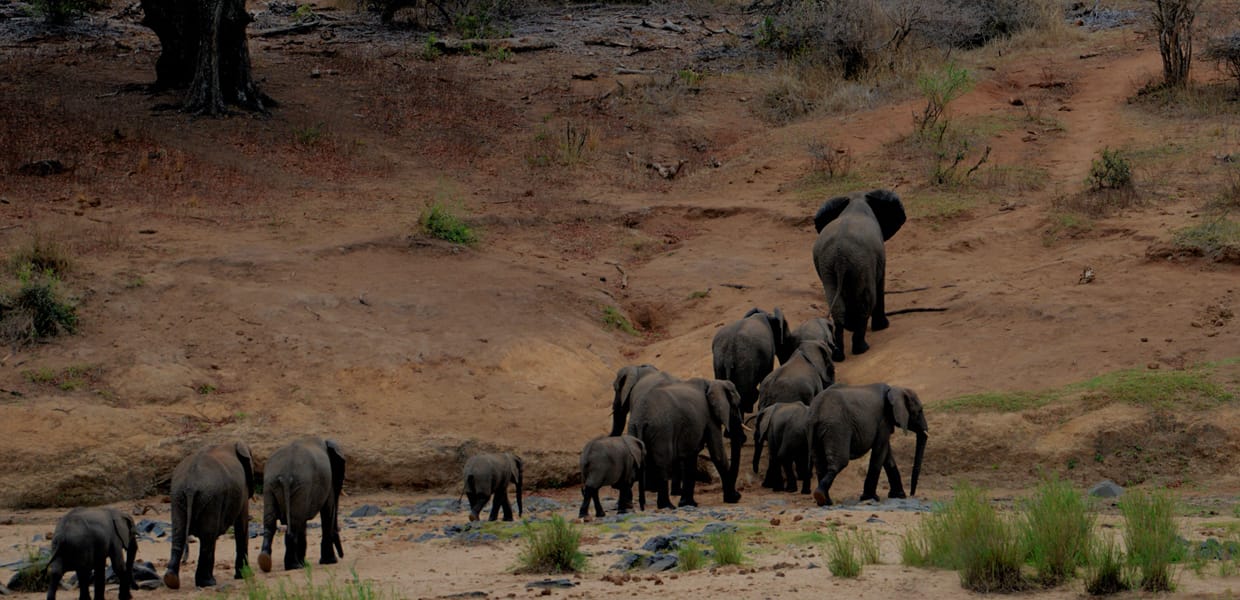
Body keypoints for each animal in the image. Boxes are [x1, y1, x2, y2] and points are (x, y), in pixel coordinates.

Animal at [163, 438, 252, 587]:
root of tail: (190, 486)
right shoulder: (243, 489)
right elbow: (242, 525)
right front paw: (244, 576)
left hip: (178, 496)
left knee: (179, 534)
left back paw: (171, 580)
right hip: (211, 498)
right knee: (208, 537)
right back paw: (208, 582)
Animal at [255, 436, 344, 572]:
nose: (341, 556)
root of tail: (285, 475)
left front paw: (306, 563)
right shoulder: (327, 484)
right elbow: (327, 512)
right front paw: (329, 562)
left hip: (270, 485)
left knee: (271, 522)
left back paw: (265, 561)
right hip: (300, 485)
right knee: (295, 523)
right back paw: (294, 566)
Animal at [624, 376, 739, 508]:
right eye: (737, 405)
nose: (737, 496)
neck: (713, 382)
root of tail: (641, 419)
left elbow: (691, 457)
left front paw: (688, 504)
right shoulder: (710, 417)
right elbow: (717, 454)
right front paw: (734, 499)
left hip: (633, 428)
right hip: (662, 430)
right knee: (663, 463)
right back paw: (667, 506)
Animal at [808, 189, 907, 364]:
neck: (856, 199)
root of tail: (840, 254)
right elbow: (880, 285)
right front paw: (883, 327)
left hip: (828, 264)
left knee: (837, 305)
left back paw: (838, 355)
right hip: (861, 261)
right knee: (866, 301)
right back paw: (862, 349)